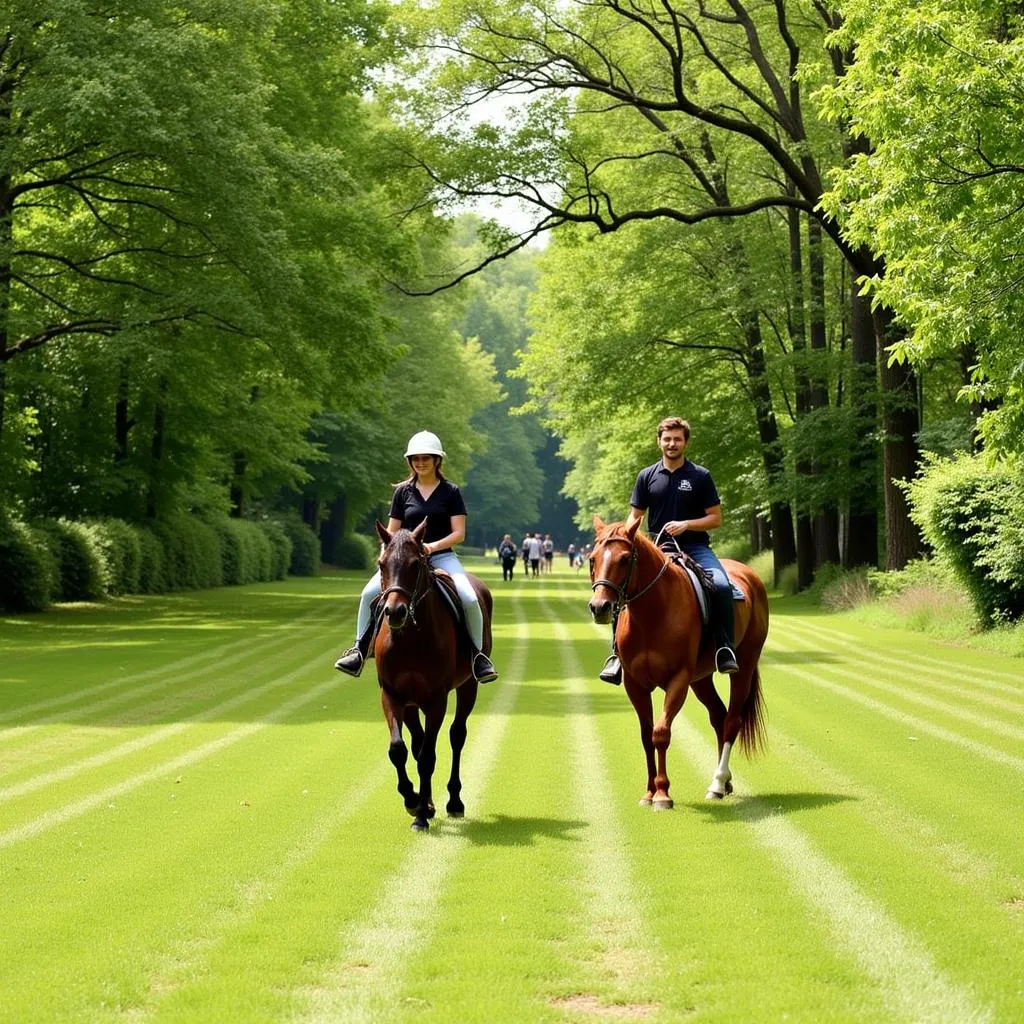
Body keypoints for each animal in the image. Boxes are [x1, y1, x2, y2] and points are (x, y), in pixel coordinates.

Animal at [372, 520, 495, 831]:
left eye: (416, 564)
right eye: (381, 563)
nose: (394, 611)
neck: (411, 637)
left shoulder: (436, 699)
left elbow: (428, 756)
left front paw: (420, 816)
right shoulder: (393, 695)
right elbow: (399, 749)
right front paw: (413, 799)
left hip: (468, 687)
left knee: (456, 735)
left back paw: (454, 801)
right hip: (411, 703)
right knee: (417, 743)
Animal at [585, 516, 770, 811]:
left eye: (625, 559)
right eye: (593, 558)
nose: (599, 607)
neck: (652, 614)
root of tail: (750, 575)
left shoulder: (678, 680)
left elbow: (661, 733)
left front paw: (662, 794)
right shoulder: (635, 684)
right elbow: (646, 735)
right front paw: (649, 792)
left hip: (745, 664)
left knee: (732, 721)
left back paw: (718, 783)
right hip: (701, 679)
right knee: (718, 716)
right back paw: (725, 782)